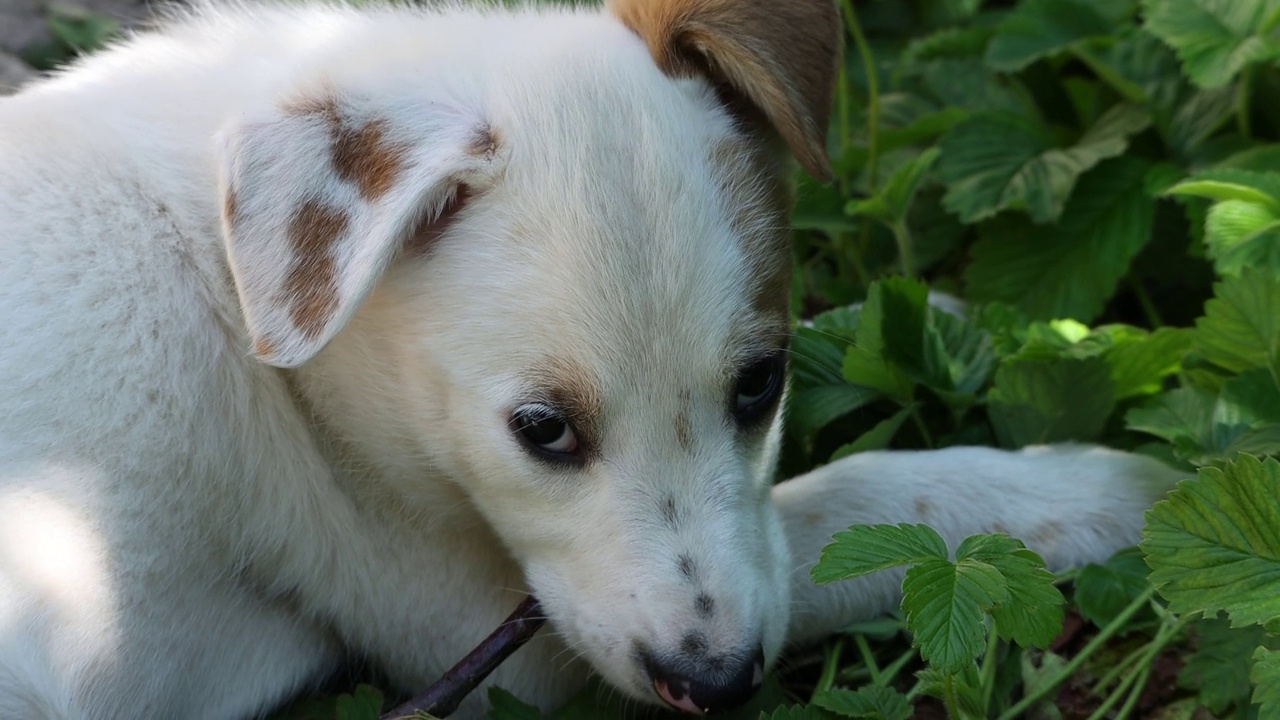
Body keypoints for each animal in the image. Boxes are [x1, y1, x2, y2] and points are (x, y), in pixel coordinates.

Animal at [0, 0, 1177, 712]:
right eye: (542, 430)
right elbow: (846, 504)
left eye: (760, 384)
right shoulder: (481, 629)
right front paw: (1085, 491)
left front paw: (957, 322)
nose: (716, 684)